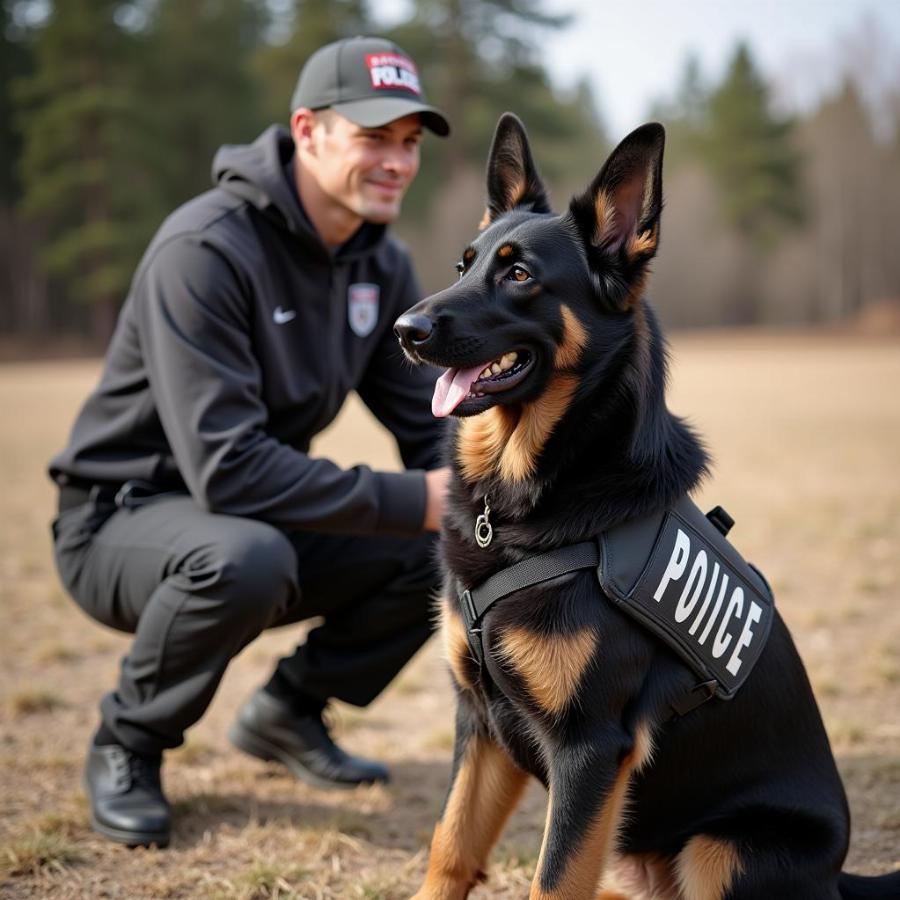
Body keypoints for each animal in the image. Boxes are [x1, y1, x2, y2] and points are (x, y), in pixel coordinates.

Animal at [396, 114, 900, 900]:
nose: (404, 330)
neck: (531, 502)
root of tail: (839, 876)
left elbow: (552, 879)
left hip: (719, 851)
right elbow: (450, 845)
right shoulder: (480, 725)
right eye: (463, 266)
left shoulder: (590, 749)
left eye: (519, 275)